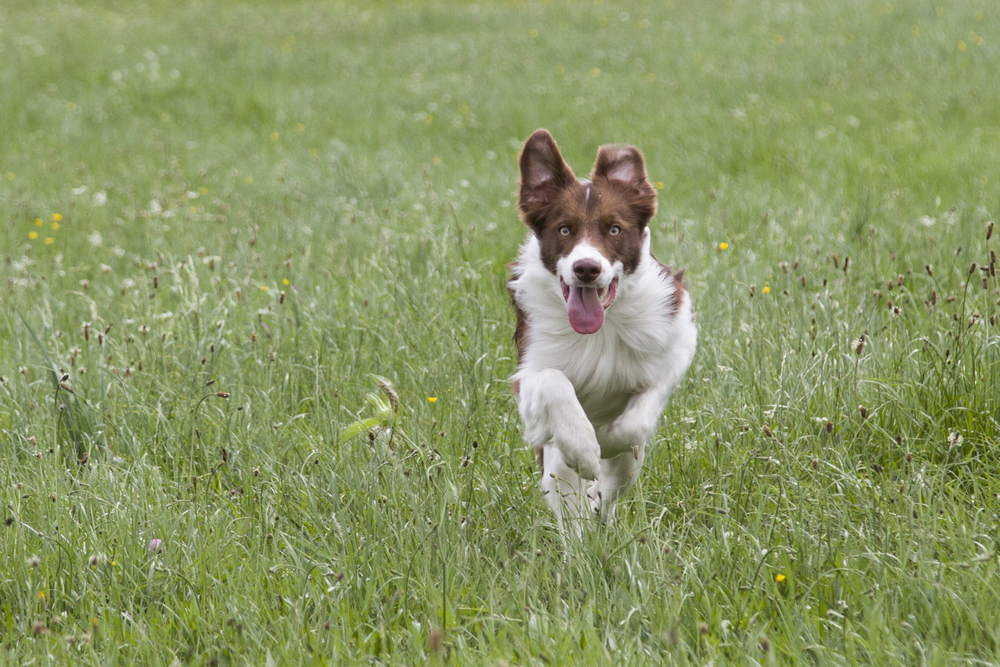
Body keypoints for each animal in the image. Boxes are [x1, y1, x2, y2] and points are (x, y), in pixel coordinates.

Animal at [508, 130, 696, 536]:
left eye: (614, 229)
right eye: (564, 229)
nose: (586, 268)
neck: (601, 329)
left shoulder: (677, 338)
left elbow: (637, 422)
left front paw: (607, 441)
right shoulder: (528, 378)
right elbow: (553, 381)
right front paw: (585, 447)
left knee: (616, 481)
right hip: (553, 464)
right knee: (568, 499)